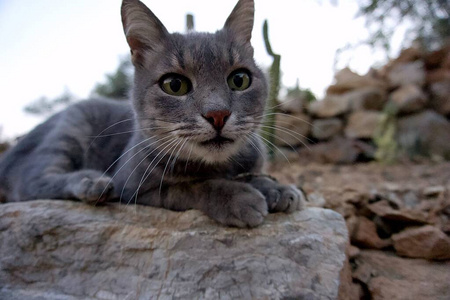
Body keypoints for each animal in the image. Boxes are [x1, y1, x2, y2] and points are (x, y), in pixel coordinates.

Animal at [0, 0, 306, 227]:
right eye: (174, 85)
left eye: (239, 80)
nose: (218, 114)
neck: (218, 165)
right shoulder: (135, 186)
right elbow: (193, 186)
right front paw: (240, 197)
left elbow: (250, 175)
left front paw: (277, 188)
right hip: (71, 129)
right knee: (31, 181)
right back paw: (91, 182)